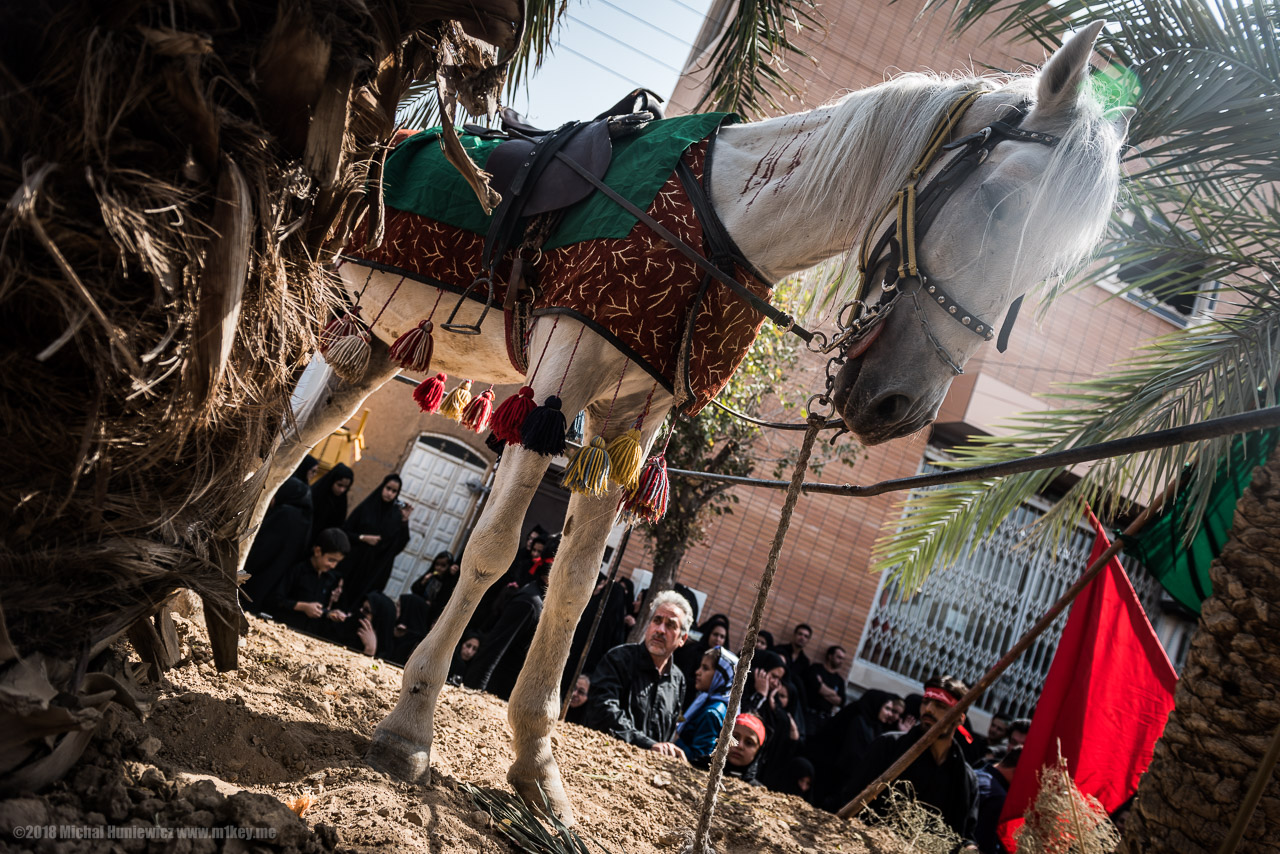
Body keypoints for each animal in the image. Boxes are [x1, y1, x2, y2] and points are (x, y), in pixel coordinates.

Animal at [274, 23, 1129, 823]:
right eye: (1004, 207)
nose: (901, 406)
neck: (713, 229)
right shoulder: (554, 388)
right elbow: (491, 553)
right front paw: (410, 727)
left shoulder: (630, 420)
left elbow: (575, 583)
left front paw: (536, 768)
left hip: (371, 345)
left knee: (287, 451)